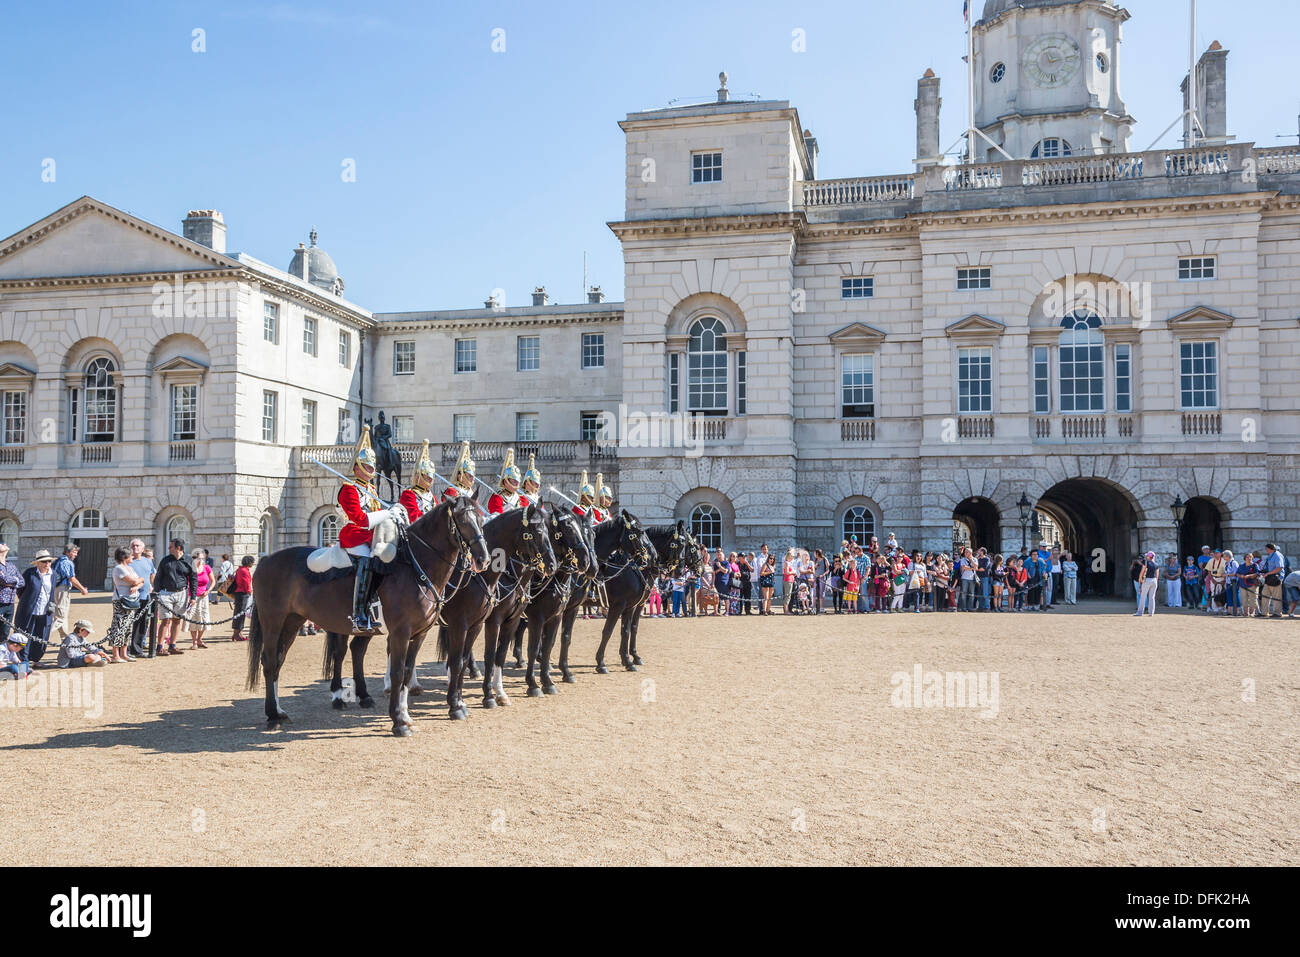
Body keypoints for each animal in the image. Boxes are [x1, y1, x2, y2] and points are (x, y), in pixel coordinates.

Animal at [244, 496, 488, 738]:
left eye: (480, 518)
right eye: (462, 520)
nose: (483, 559)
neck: (416, 567)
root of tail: (266, 560)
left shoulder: (420, 633)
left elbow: (408, 673)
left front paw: (406, 716)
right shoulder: (404, 632)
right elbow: (399, 672)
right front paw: (399, 721)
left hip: (293, 621)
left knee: (283, 659)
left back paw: (281, 710)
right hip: (273, 621)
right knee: (270, 661)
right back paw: (274, 715)